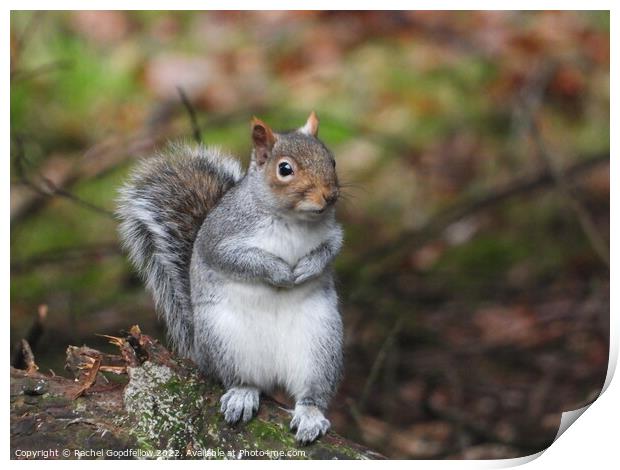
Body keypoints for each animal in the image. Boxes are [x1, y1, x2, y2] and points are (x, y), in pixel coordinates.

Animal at [116, 112, 344, 442]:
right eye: (284, 169)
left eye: (332, 160)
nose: (329, 196)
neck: (293, 219)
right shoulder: (220, 238)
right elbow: (240, 260)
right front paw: (279, 271)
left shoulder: (333, 233)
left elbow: (331, 249)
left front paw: (307, 268)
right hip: (224, 340)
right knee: (242, 378)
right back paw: (242, 395)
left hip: (320, 345)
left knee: (311, 391)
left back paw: (310, 415)